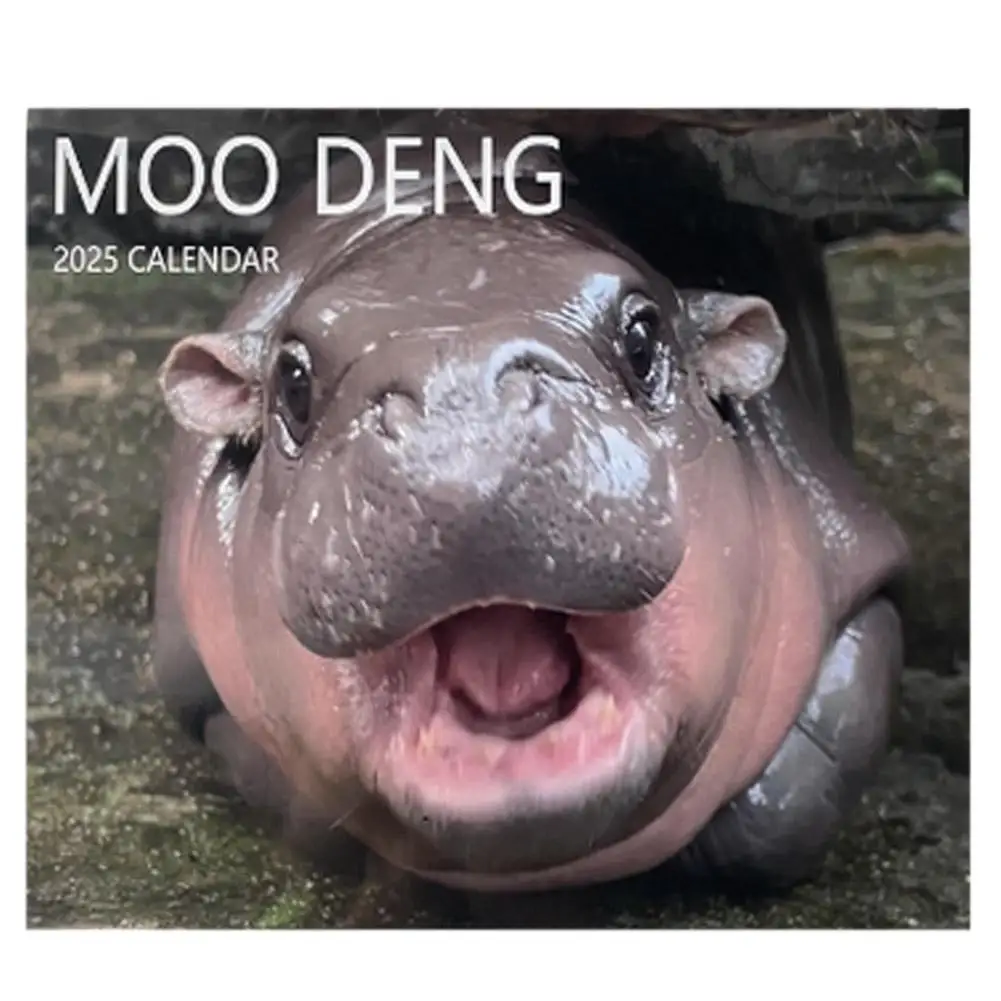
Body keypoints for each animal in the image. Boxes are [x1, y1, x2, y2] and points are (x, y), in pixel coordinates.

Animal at [152, 111, 909, 893]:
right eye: (293, 382)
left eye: (644, 338)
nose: (464, 419)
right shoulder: (193, 676)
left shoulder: (858, 565)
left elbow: (792, 791)